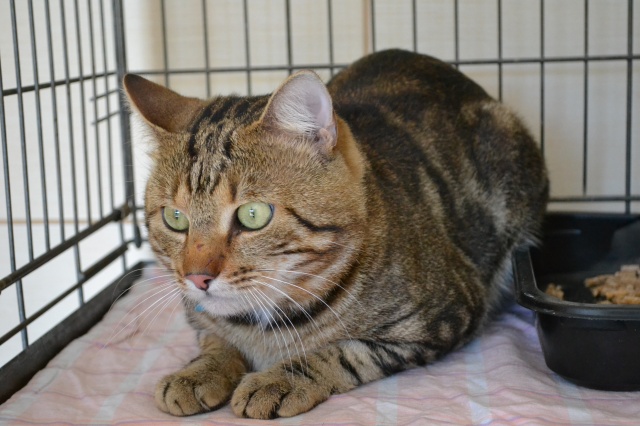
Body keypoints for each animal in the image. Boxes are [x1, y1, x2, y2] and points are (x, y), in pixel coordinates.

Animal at [124, 49, 548, 419]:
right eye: (175, 218)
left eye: (253, 215)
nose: (197, 277)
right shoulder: (201, 317)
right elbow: (214, 338)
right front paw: (199, 371)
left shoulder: (446, 315)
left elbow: (345, 351)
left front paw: (280, 379)